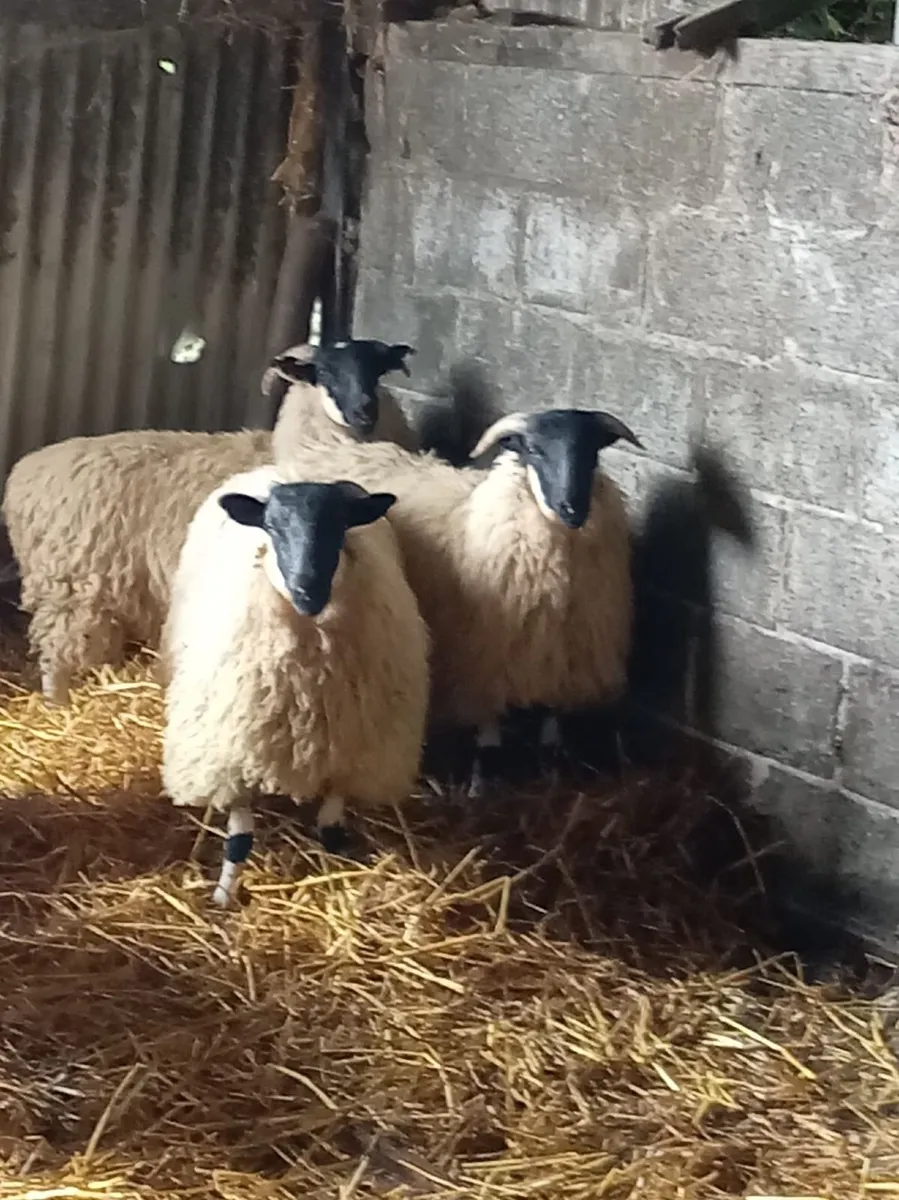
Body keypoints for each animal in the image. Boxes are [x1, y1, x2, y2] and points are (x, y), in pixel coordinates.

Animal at [2, 338, 417, 705]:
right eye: (326, 372)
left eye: (377, 369)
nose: (365, 411)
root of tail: (23, 476)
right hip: (72, 591)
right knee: (58, 657)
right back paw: (58, 705)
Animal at [161, 467, 430, 905]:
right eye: (271, 527)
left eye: (341, 526)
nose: (308, 588)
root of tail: (289, 469)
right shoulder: (233, 756)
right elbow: (239, 840)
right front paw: (222, 897)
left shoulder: (350, 757)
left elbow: (331, 832)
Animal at [273, 406, 642, 792]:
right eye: (534, 450)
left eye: (592, 453)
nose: (572, 508)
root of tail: (326, 450)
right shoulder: (483, 663)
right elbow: (488, 740)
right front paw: (480, 786)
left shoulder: (562, 662)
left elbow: (551, 734)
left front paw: (553, 775)